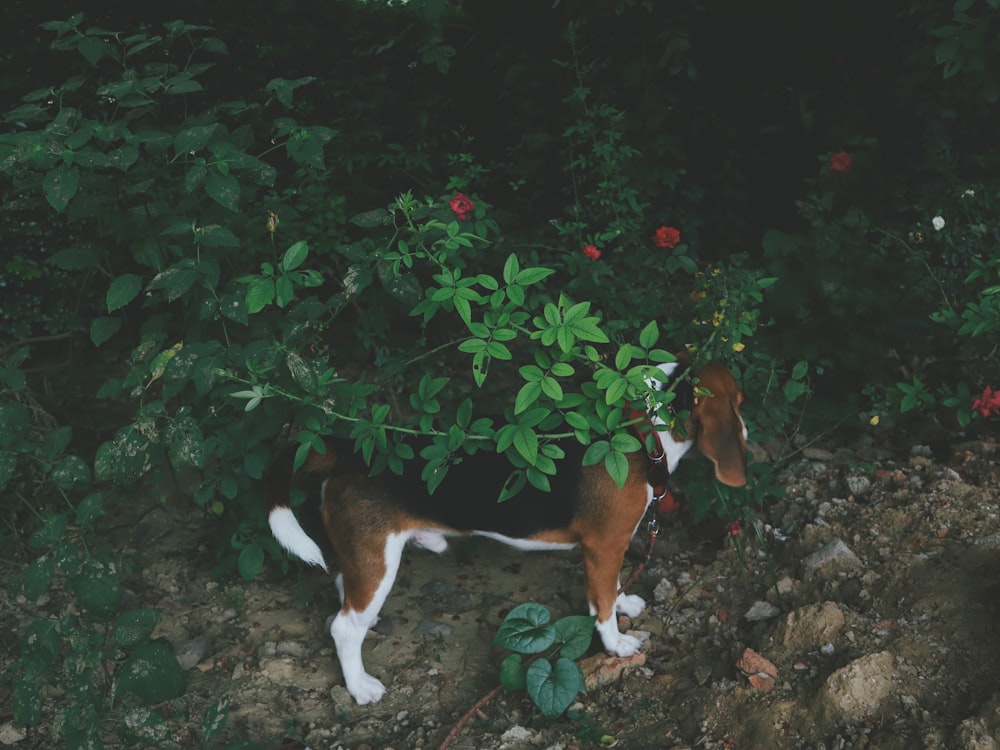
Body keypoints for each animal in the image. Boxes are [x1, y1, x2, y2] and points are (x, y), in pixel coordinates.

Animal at [270, 358, 748, 704]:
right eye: (739, 402)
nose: (747, 429)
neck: (641, 426)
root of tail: (345, 451)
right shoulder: (604, 545)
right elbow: (602, 604)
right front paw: (615, 642)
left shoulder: (607, 550)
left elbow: (608, 590)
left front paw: (624, 600)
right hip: (379, 560)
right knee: (343, 628)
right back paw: (360, 687)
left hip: (364, 558)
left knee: (343, 593)